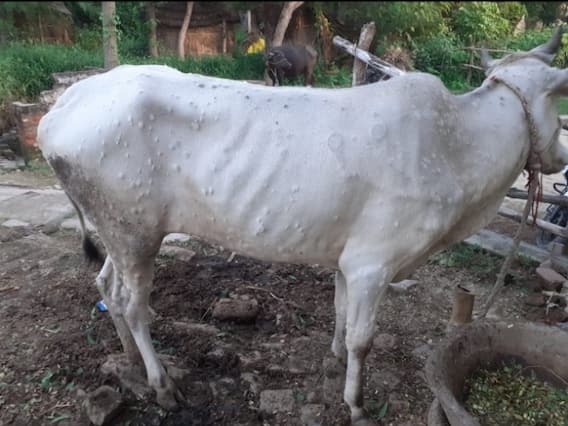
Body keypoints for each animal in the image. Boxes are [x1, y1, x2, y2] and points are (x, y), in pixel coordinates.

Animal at [37, 27, 568, 425]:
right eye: (555, 102)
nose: (560, 156)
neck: (456, 145)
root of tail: (61, 109)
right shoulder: (374, 265)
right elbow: (363, 339)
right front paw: (356, 404)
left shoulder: (348, 261)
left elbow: (339, 312)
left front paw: (334, 358)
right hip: (135, 233)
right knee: (131, 304)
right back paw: (161, 384)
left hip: (119, 233)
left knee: (107, 286)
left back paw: (130, 360)